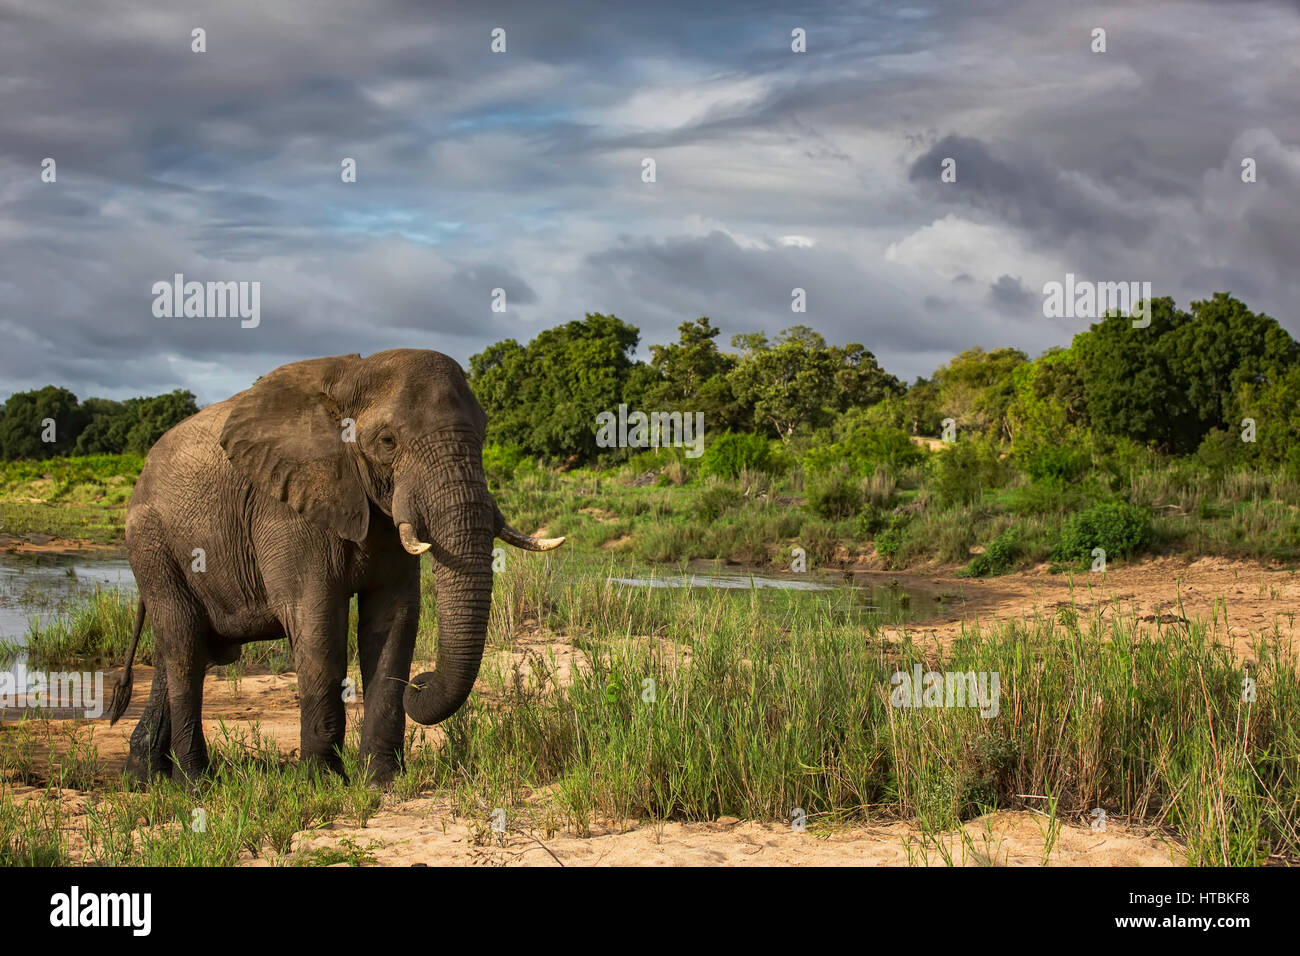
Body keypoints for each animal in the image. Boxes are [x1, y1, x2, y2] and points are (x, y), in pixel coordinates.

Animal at [106, 351, 564, 785]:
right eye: (387, 441)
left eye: (483, 433)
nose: (421, 682)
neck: (352, 378)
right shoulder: (287, 506)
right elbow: (318, 621)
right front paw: (323, 780)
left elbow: (394, 620)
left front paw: (382, 779)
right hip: (151, 544)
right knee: (184, 645)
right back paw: (197, 784)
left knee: (183, 651)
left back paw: (145, 777)